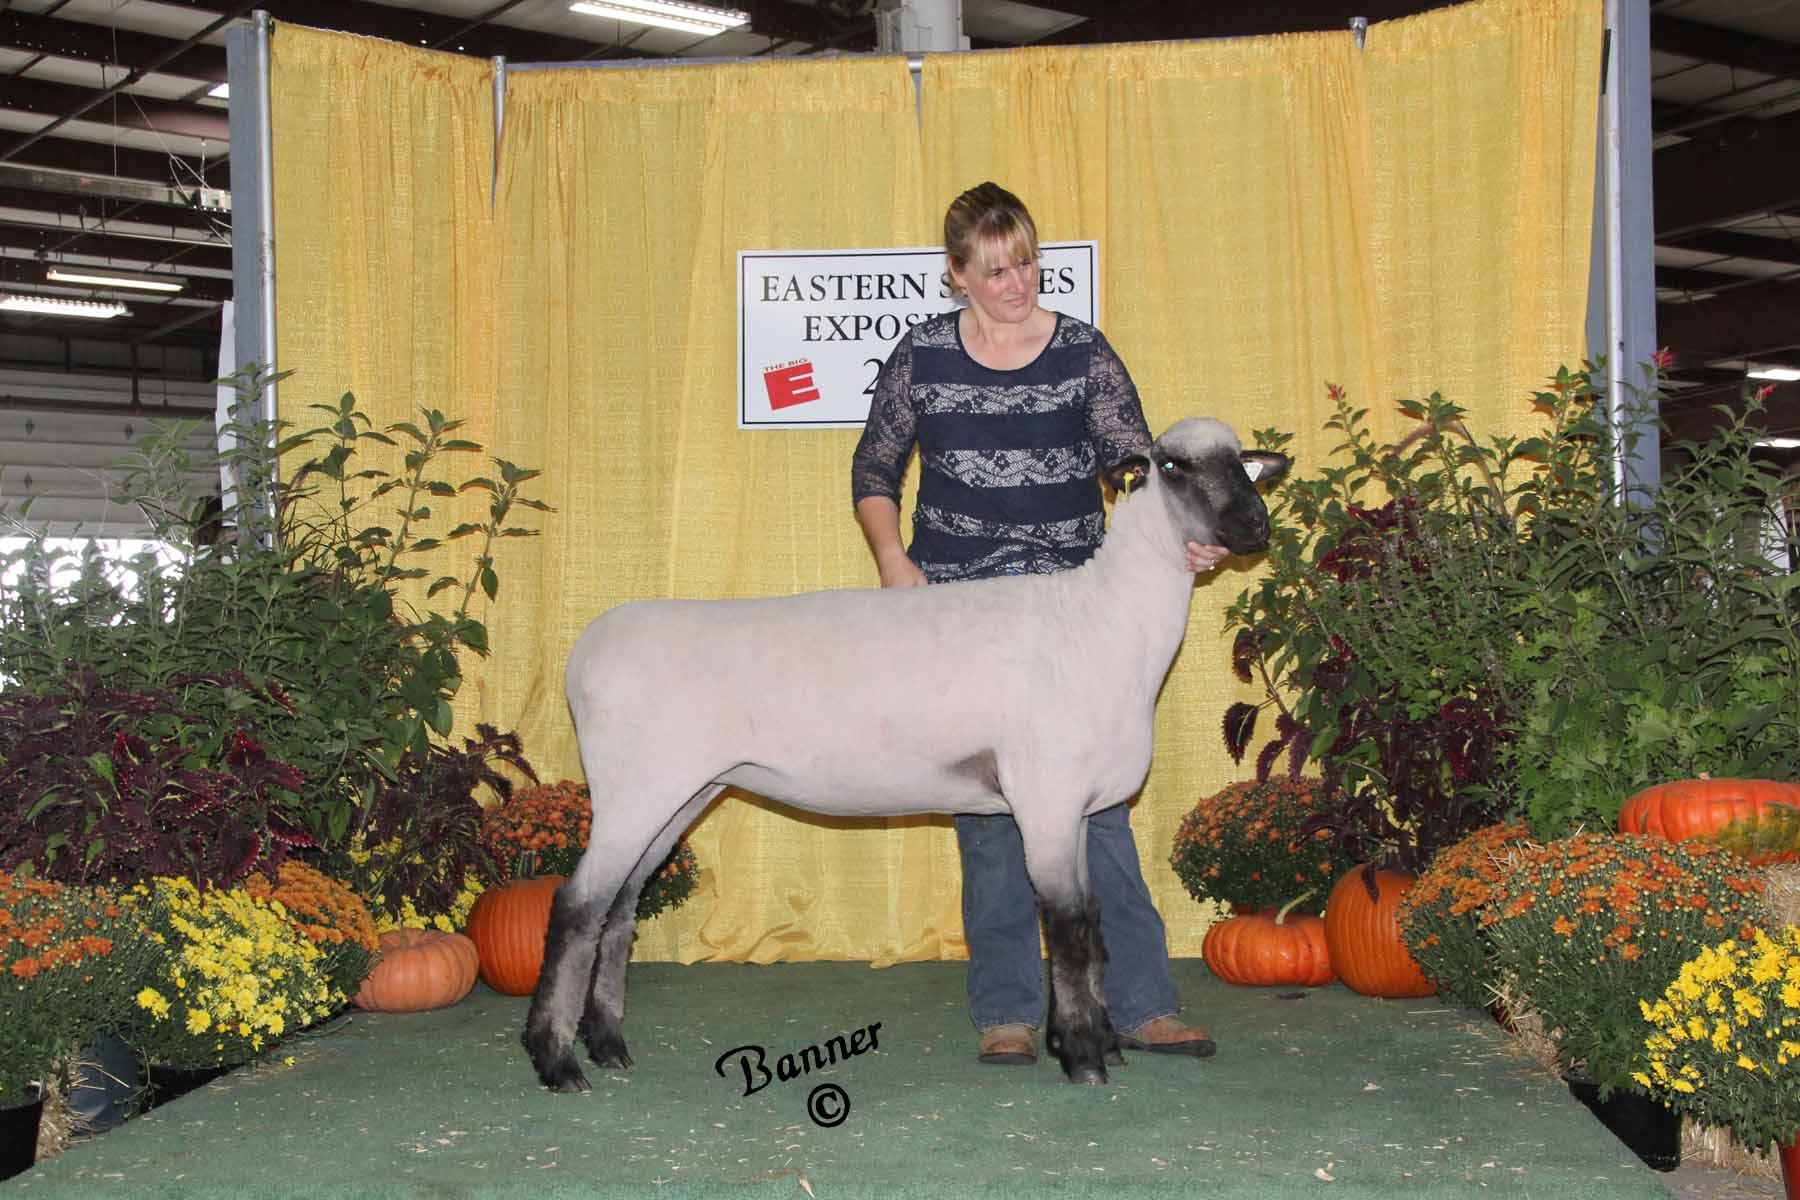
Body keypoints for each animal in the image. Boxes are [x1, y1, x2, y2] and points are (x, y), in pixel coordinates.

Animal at [524, 416, 1290, 1091]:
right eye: (1173, 466)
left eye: (1244, 466)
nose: (1256, 527)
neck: (1102, 621)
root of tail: (584, 653)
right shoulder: (1045, 797)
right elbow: (1068, 928)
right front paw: (1083, 1058)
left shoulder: (1073, 809)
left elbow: (1092, 923)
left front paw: (1096, 1042)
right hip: (636, 788)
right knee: (576, 907)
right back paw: (557, 1062)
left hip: (681, 793)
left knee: (620, 907)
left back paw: (608, 1046)